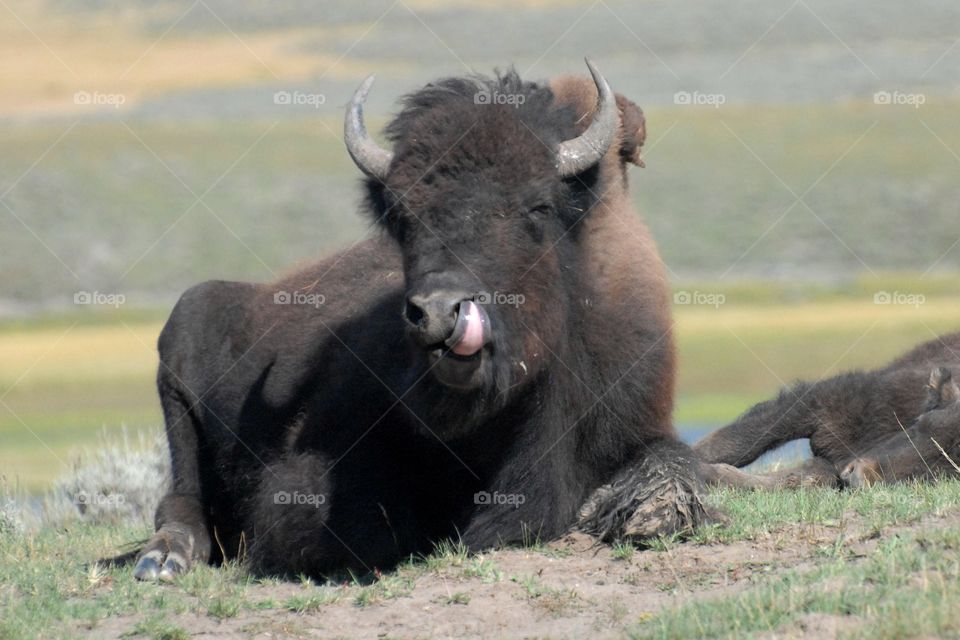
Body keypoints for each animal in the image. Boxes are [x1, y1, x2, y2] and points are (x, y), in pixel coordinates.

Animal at [122, 60, 708, 581]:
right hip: (177, 361)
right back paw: (163, 560)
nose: (441, 312)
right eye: (403, 216)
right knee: (180, 501)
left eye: (538, 206)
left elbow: (669, 465)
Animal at [695, 332, 960, 489]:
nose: (857, 475)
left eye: (948, 467)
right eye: (919, 424)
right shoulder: (821, 402)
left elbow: (804, 476)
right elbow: (739, 442)